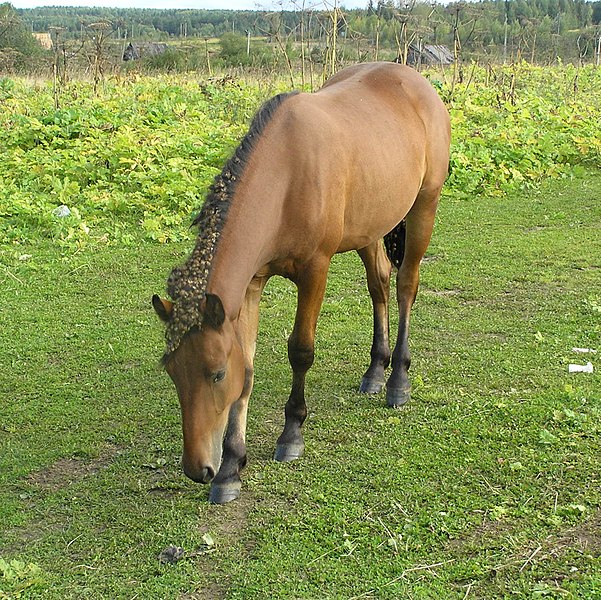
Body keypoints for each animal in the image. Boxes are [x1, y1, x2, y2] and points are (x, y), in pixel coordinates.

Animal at [152, 62, 448, 502]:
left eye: (216, 373)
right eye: (173, 371)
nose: (196, 468)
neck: (287, 176)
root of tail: (415, 81)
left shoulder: (315, 271)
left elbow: (301, 351)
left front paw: (291, 434)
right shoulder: (251, 285)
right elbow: (249, 367)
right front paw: (231, 468)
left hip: (423, 207)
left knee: (405, 287)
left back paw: (398, 380)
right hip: (370, 226)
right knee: (378, 284)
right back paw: (375, 371)